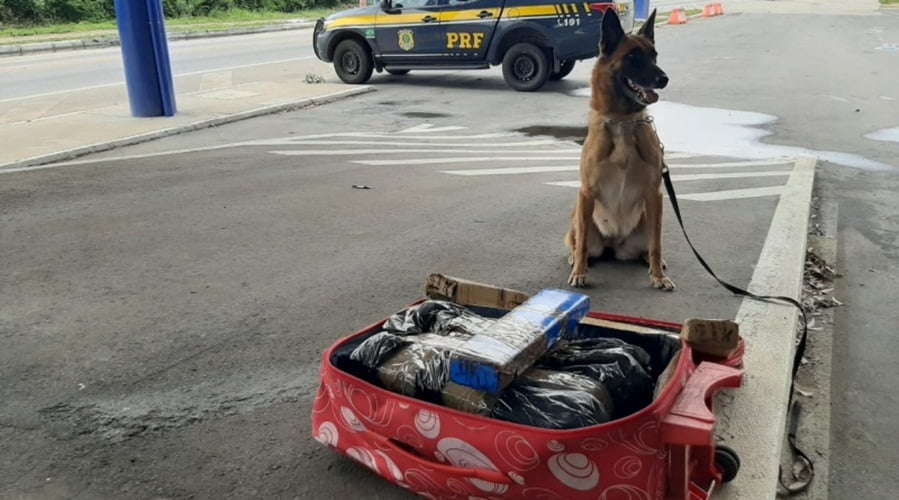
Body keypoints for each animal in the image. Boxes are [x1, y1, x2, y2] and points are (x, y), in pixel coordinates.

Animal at [564, 6, 676, 290]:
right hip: (578, 215)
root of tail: (613, 245)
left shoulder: (654, 194)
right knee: (579, 243)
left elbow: (657, 244)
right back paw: (575, 259)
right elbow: (582, 245)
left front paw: (658, 276)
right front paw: (579, 272)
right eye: (633, 57)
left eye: (654, 55)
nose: (664, 78)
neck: (623, 122)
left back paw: (654, 263)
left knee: (649, 246)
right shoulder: (586, 193)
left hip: (647, 221)